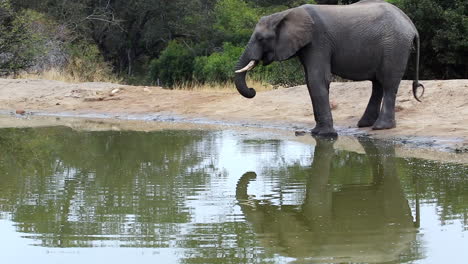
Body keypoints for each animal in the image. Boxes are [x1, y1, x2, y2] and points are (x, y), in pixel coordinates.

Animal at [234, 1, 424, 138]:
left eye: (261, 39)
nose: (253, 90)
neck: (285, 14)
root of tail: (411, 24)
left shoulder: (318, 41)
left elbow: (317, 79)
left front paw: (324, 135)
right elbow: (310, 80)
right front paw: (316, 133)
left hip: (395, 46)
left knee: (388, 83)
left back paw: (380, 127)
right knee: (377, 83)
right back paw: (365, 125)